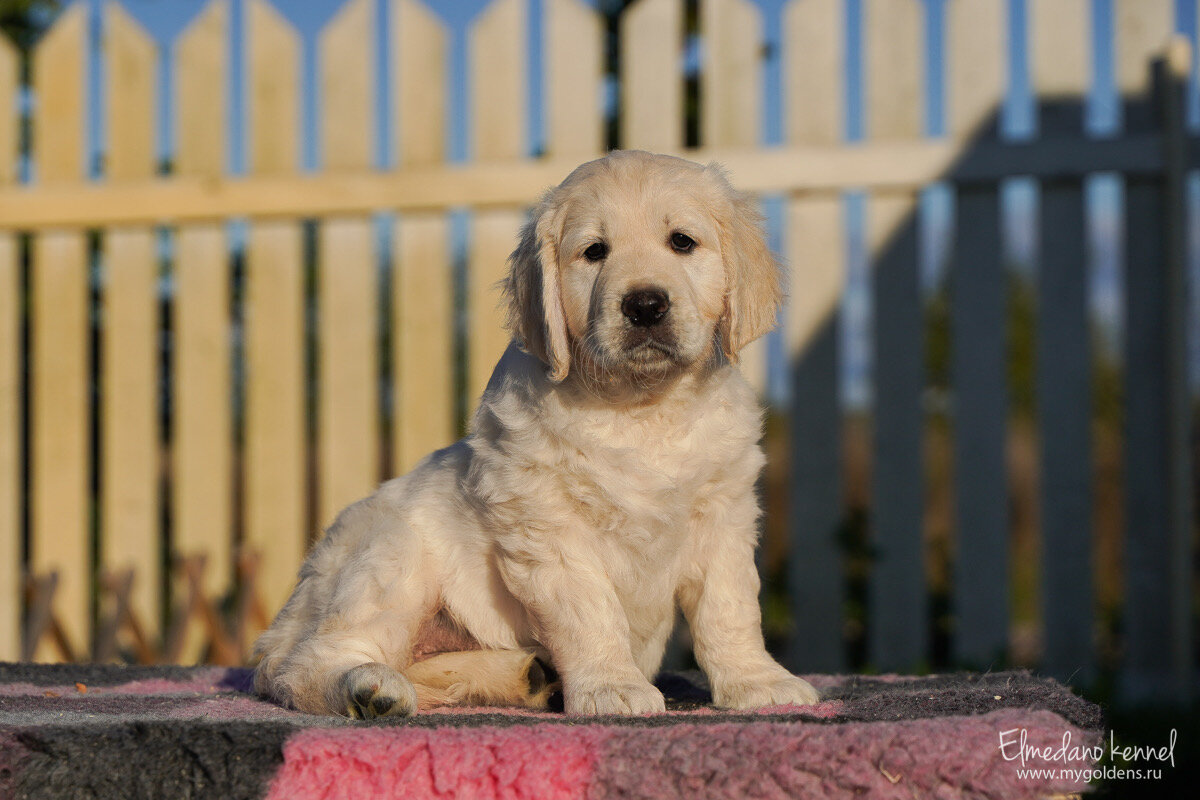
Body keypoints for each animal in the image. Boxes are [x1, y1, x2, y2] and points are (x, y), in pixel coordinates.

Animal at [250, 149, 816, 719]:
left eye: (682, 241)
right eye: (594, 251)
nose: (645, 305)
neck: (639, 407)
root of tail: (278, 631)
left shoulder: (722, 514)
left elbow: (730, 608)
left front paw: (756, 680)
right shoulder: (548, 525)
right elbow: (590, 612)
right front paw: (612, 686)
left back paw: (526, 678)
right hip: (388, 560)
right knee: (310, 663)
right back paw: (369, 689)